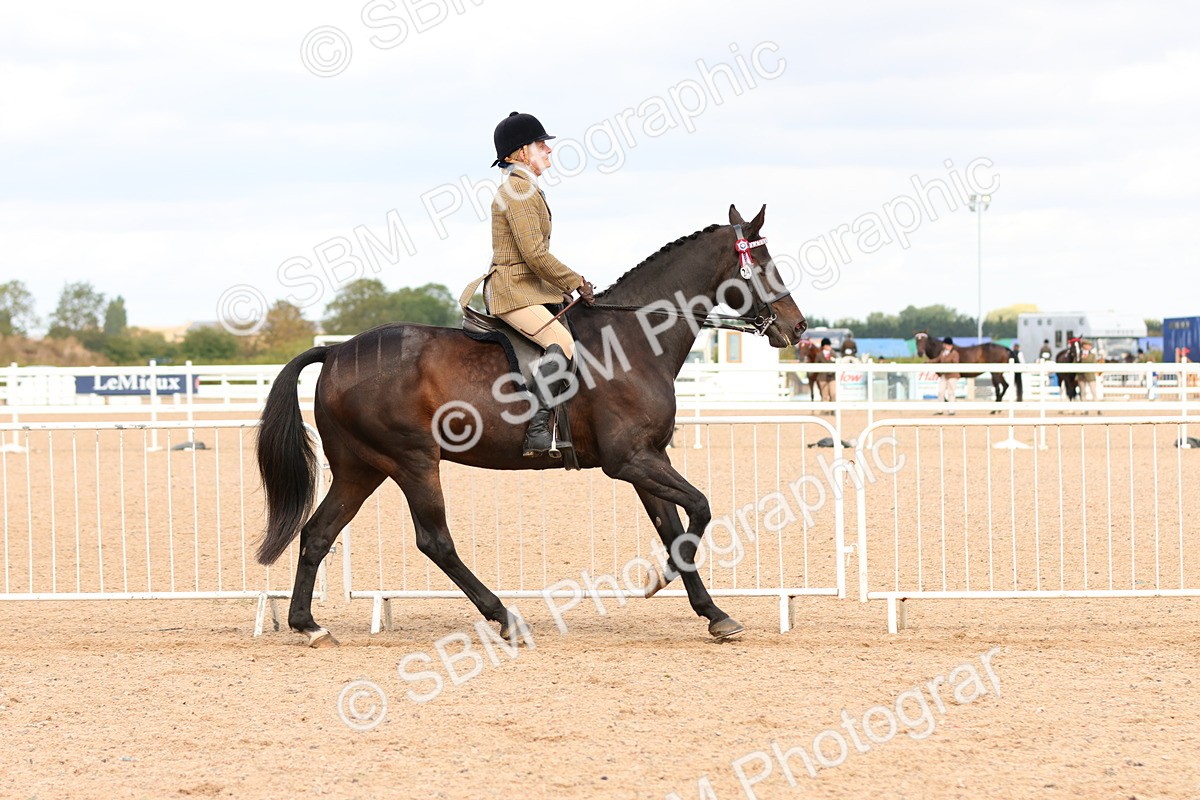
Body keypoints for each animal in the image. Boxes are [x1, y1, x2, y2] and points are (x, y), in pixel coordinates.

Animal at [254, 205, 807, 646]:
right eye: (762, 265)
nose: (796, 327)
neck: (633, 337)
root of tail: (336, 351)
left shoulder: (650, 457)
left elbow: (674, 527)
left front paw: (711, 612)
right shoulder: (629, 461)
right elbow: (701, 507)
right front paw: (663, 580)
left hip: (361, 467)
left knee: (317, 533)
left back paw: (308, 625)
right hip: (413, 461)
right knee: (434, 541)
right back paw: (504, 618)